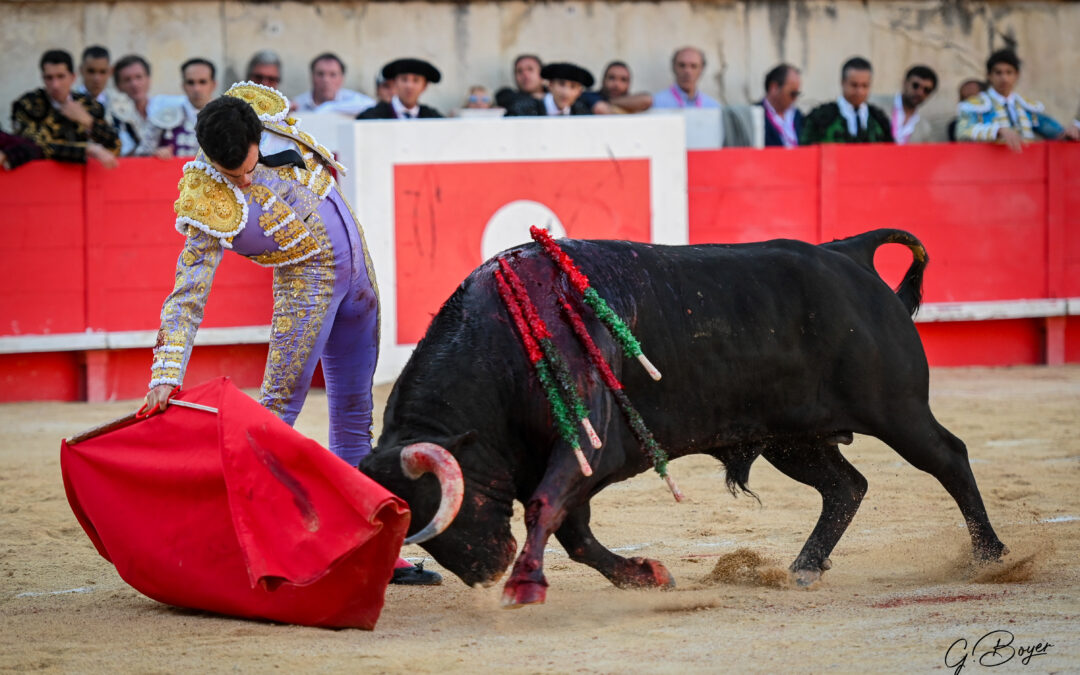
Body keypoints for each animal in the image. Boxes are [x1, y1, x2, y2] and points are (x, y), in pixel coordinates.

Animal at [358, 227, 1006, 604]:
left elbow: (549, 509)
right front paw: (645, 575)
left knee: (948, 458)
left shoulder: (587, 448)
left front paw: (525, 585)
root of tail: (846, 255)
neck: (507, 347)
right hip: (792, 438)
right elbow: (575, 532)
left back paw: (990, 555)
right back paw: (802, 568)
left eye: (447, 501)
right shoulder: (575, 465)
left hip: (896, 409)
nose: (484, 570)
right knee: (846, 486)